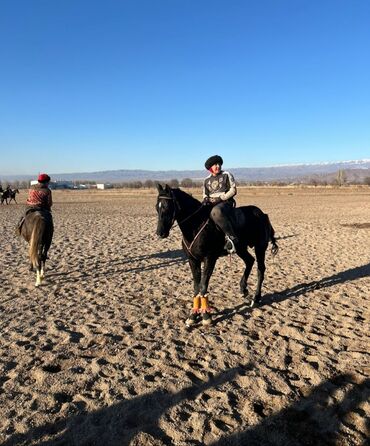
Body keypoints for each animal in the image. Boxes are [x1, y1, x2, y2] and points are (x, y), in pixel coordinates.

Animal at [155, 183, 278, 326]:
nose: (160, 233)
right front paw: (193, 315)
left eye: (167, 206)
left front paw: (206, 316)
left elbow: (203, 286)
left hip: (260, 247)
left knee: (260, 269)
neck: (196, 225)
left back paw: (256, 297)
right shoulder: (193, 260)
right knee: (250, 261)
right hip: (241, 249)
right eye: (157, 207)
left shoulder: (210, 259)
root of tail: (262, 214)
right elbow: (196, 287)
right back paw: (244, 289)